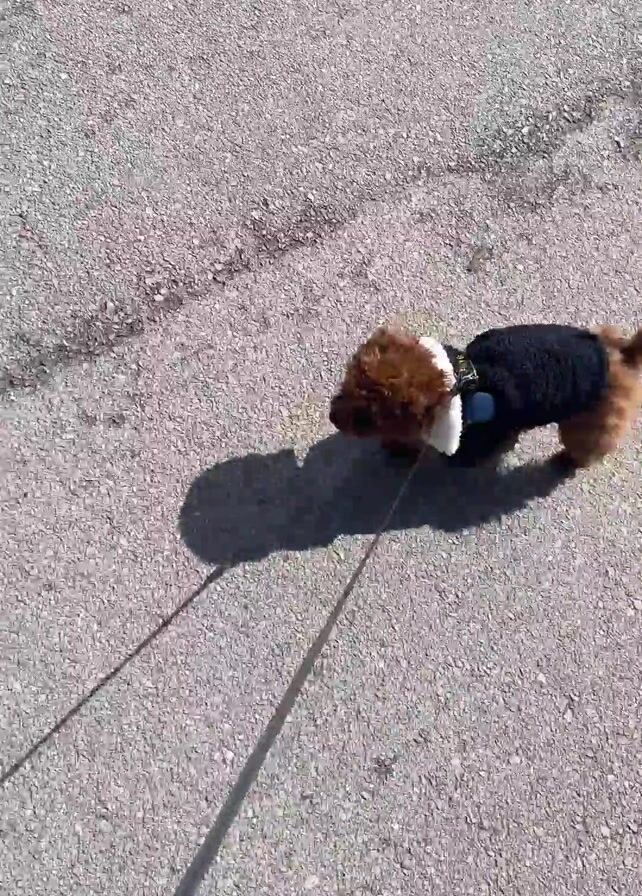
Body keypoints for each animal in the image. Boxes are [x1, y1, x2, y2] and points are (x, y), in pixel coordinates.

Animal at [329, 323, 642, 468]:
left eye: (366, 418)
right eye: (343, 387)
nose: (332, 418)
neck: (461, 382)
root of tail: (622, 354)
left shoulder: (485, 435)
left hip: (590, 421)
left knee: (590, 445)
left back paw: (566, 461)